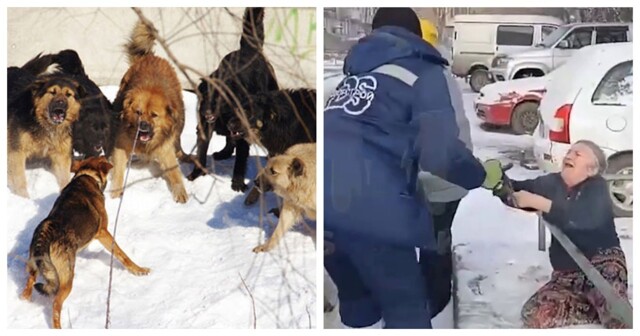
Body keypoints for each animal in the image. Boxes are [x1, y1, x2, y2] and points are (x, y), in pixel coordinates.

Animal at [19, 157, 150, 328]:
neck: (87, 174)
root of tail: (45, 234)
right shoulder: (103, 232)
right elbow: (123, 255)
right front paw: (139, 270)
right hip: (67, 278)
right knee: (56, 304)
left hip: (34, 267)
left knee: (28, 286)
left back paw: (25, 298)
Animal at [110, 18, 188, 203]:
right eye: (138, 112)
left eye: (154, 115)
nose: (143, 126)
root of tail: (150, 57)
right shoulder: (121, 143)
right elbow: (118, 170)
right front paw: (115, 192)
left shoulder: (165, 148)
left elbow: (175, 173)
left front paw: (180, 192)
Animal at [186, 6, 278, 193]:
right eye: (204, 97)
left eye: (217, 98)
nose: (206, 111)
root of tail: (250, 50)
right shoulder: (205, 128)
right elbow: (201, 152)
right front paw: (196, 174)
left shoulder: (243, 130)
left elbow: (240, 160)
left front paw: (237, 183)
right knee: (229, 139)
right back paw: (223, 153)